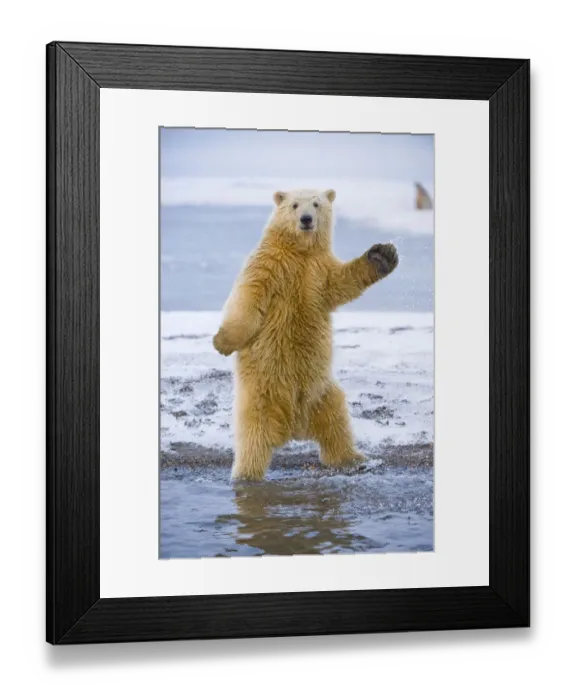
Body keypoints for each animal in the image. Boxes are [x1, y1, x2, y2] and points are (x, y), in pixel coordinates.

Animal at [213, 188, 399, 480]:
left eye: (317, 204)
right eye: (294, 205)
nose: (307, 219)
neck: (299, 252)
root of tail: (294, 427)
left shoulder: (319, 270)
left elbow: (342, 283)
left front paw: (382, 255)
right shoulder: (270, 264)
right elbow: (249, 299)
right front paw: (222, 342)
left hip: (321, 392)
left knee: (337, 421)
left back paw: (354, 459)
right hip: (261, 392)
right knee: (253, 435)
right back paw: (246, 474)